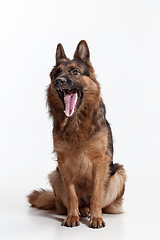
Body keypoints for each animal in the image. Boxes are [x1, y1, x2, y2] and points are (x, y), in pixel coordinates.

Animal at [27, 40, 126, 228]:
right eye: (56, 73)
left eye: (75, 72)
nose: (59, 81)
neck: (76, 124)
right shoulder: (64, 162)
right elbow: (72, 195)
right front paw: (72, 216)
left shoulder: (101, 161)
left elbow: (96, 194)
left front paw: (96, 217)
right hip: (55, 176)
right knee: (72, 202)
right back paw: (81, 210)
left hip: (118, 173)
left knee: (102, 202)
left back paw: (91, 211)